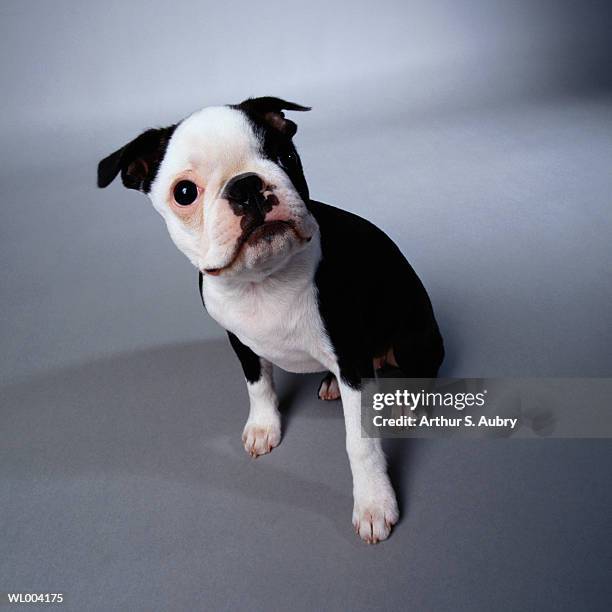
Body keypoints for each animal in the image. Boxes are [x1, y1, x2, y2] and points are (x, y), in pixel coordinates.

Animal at [99, 97, 444, 544]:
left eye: (286, 156)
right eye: (185, 193)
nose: (246, 186)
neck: (263, 280)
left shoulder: (351, 357)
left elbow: (360, 442)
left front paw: (373, 502)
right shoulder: (239, 340)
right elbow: (258, 384)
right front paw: (264, 427)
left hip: (412, 338)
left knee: (426, 369)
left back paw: (407, 402)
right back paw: (329, 384)